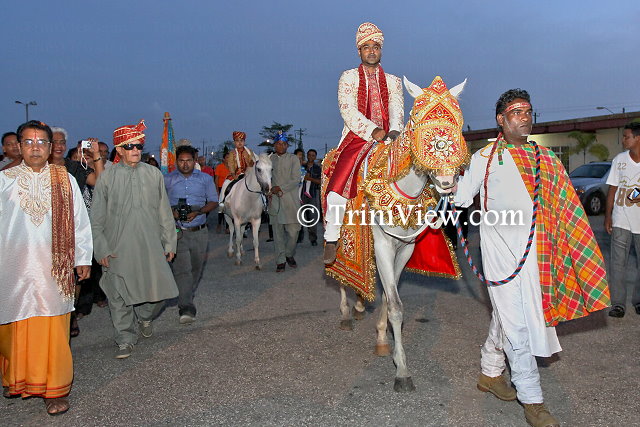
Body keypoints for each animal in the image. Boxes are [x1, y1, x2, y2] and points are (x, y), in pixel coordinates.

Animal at [336, 76, 464, 392]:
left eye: (458, 123)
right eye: (416, 122)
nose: (447, 181)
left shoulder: (404, 248)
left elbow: (387, 294)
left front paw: (383, 339)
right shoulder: (382, 245)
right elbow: (395, 305)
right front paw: (402, 371)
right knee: (338, 270)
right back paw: (346, 311)